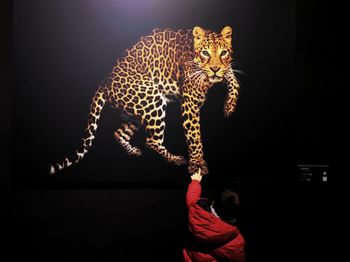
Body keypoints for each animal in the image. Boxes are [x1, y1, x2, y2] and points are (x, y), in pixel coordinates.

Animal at [48, 25, 241, 176]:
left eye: (223, 53)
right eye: (205, 53)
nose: (215, 69)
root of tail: (105, 81)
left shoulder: (224, 71)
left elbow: (233, 78)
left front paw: (229, 107)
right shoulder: (190, 103)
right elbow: (194, 136)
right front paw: (197, 165)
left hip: (136, 110)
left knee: (119, 133)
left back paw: (133, 151)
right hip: (152, 98)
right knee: (151, 141)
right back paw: (176, 159)